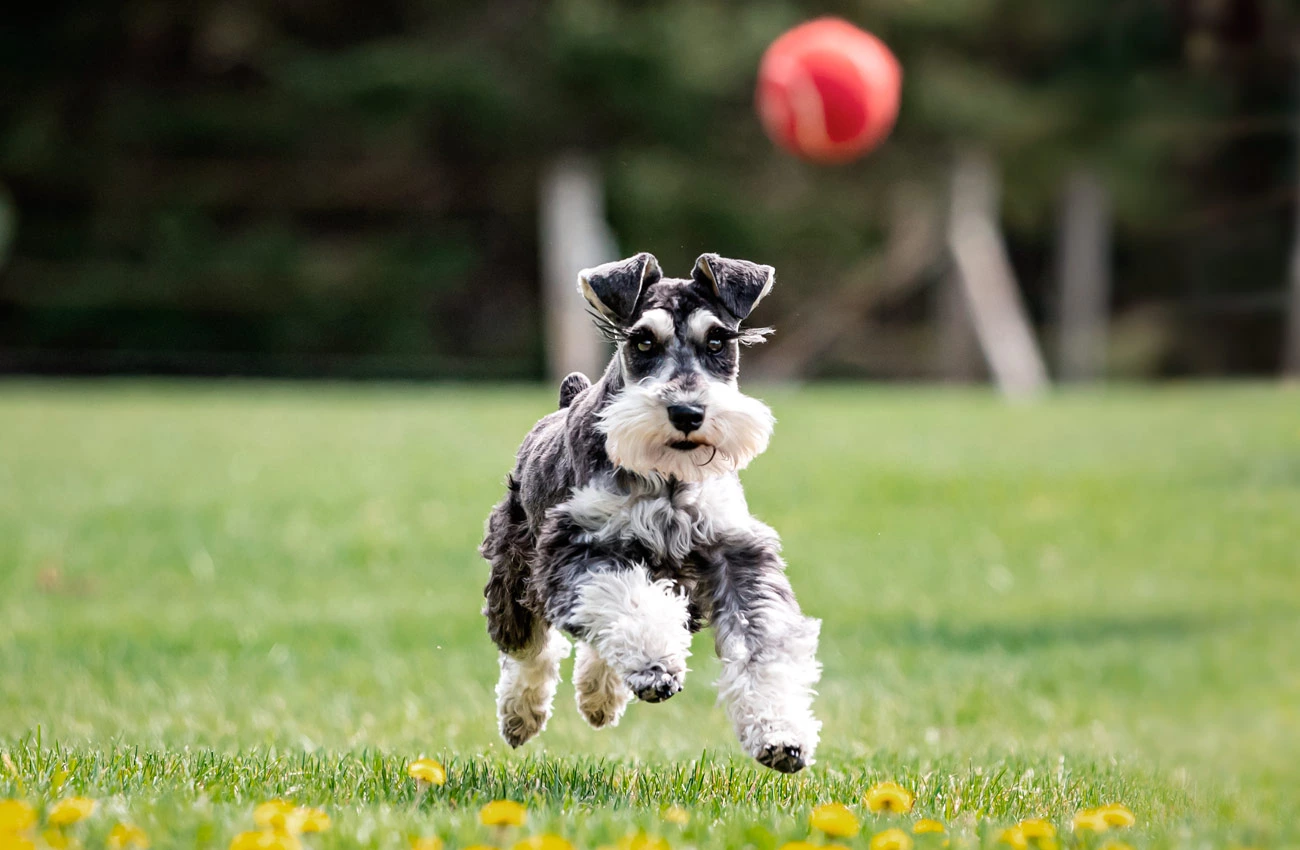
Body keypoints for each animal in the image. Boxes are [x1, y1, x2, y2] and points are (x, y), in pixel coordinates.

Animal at [478, 250, 821, 774]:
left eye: (717, 341)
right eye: (642, 341)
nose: (687, 412)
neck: (668, 476)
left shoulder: (736, 554)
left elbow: (764, 642)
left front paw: (781, 732)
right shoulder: (577, 546)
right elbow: (626, 600)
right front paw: (655, 664)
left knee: (597, 641)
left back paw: (600, 697)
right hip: (516, 564)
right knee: (530, 645)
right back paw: (522, 713)